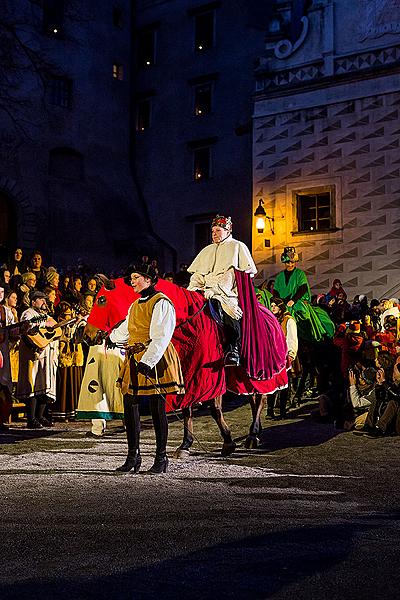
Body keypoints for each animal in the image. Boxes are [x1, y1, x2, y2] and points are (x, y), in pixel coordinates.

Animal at [83, 276, 288, 454]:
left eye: (102, 299)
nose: (86, 335)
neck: (189, 323)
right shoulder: (189, 373)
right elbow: (186, 407)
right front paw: (185, 444)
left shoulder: (208, 376)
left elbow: (214, 409)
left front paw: (228, 442)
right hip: (240, 375)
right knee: (253, 397)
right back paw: (256, 432)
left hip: (260, 370)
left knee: (260, 397)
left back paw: (253, 435)